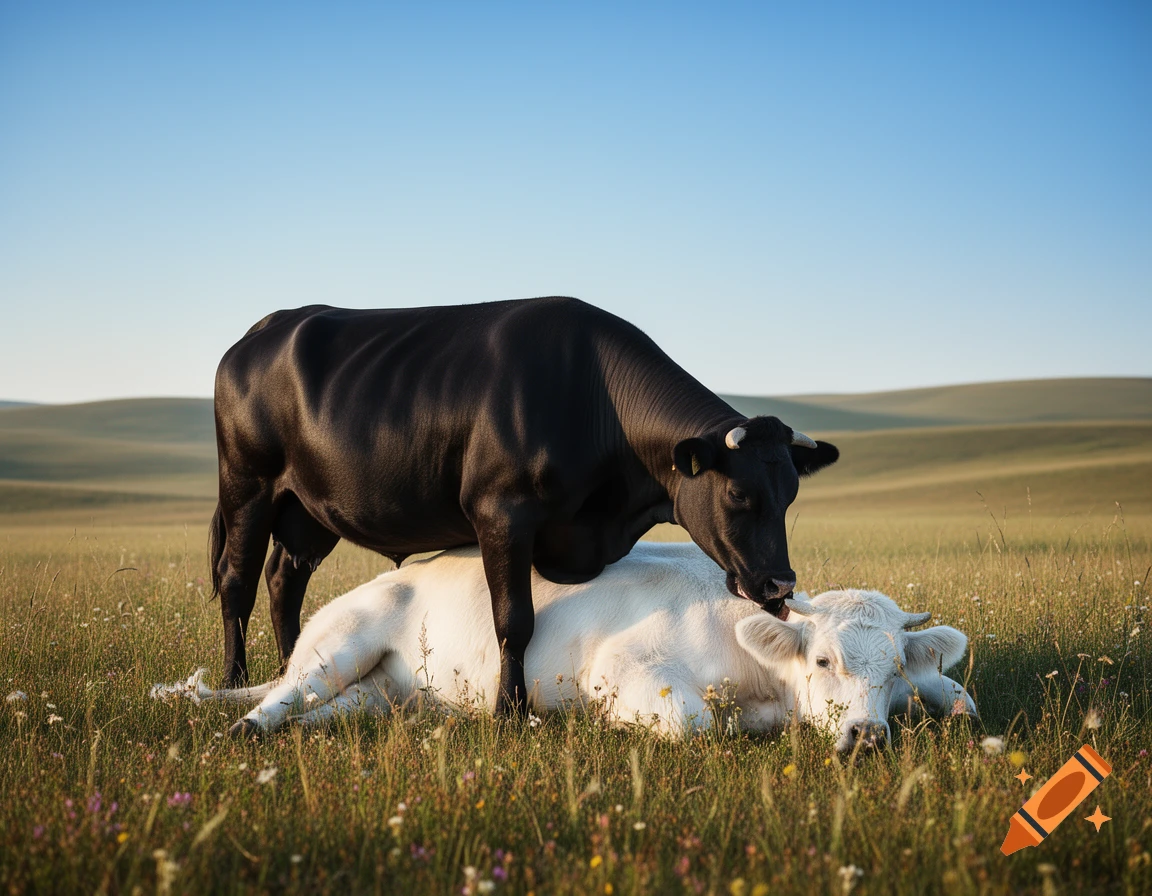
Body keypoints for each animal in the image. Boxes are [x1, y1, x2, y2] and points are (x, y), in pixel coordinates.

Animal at [159, 542, 976, 749]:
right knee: (285, 696)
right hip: (338, 645)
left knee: (336, 711)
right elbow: (693, 723)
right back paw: (244, 728)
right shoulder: (626, 666)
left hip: (383, 692)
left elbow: (953, 689)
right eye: (823, 660)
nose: (867, 734)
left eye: (890, 668)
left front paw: (949, 700)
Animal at [209, 296, 839, 713]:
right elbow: (514, 620)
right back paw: (235, 675)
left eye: (790, 494)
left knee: (284, 579)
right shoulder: (501, 513)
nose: (781, 584)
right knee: (238, 580)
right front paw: (508, 712)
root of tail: (262, 330)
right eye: (737, 493)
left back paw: (287, 663)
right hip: (248, 485)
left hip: (309, 511)